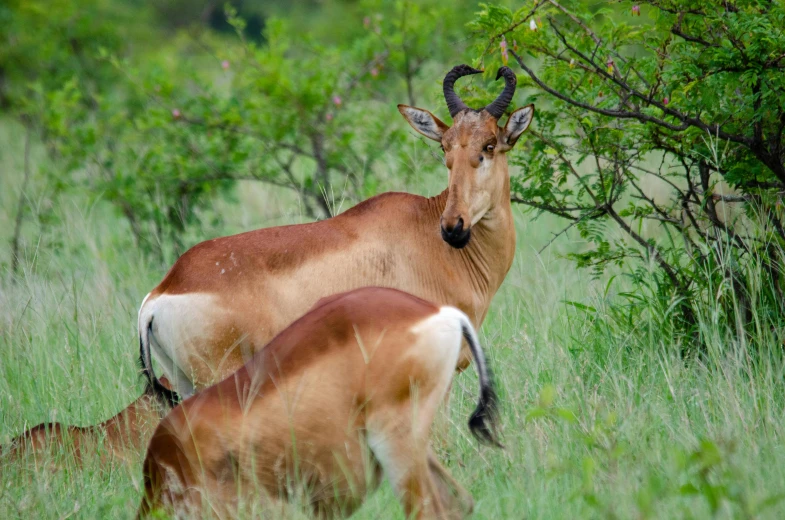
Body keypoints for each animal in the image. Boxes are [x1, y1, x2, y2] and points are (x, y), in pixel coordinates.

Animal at [139, 64, 532, 398]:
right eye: (445, 148)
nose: (454, 228)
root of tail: (162, 292)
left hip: (186, 382)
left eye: (489, 145)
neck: (425, 230)